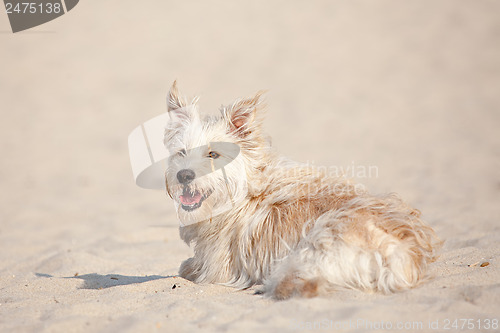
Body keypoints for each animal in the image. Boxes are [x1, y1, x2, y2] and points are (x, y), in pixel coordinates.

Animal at [164, 81, 442, 298]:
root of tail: (402, 255)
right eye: (181, 153)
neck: (246, 194)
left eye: (213, 154)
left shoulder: (218, 267)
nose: (184, 175)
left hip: (312, 245)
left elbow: (186, 267)